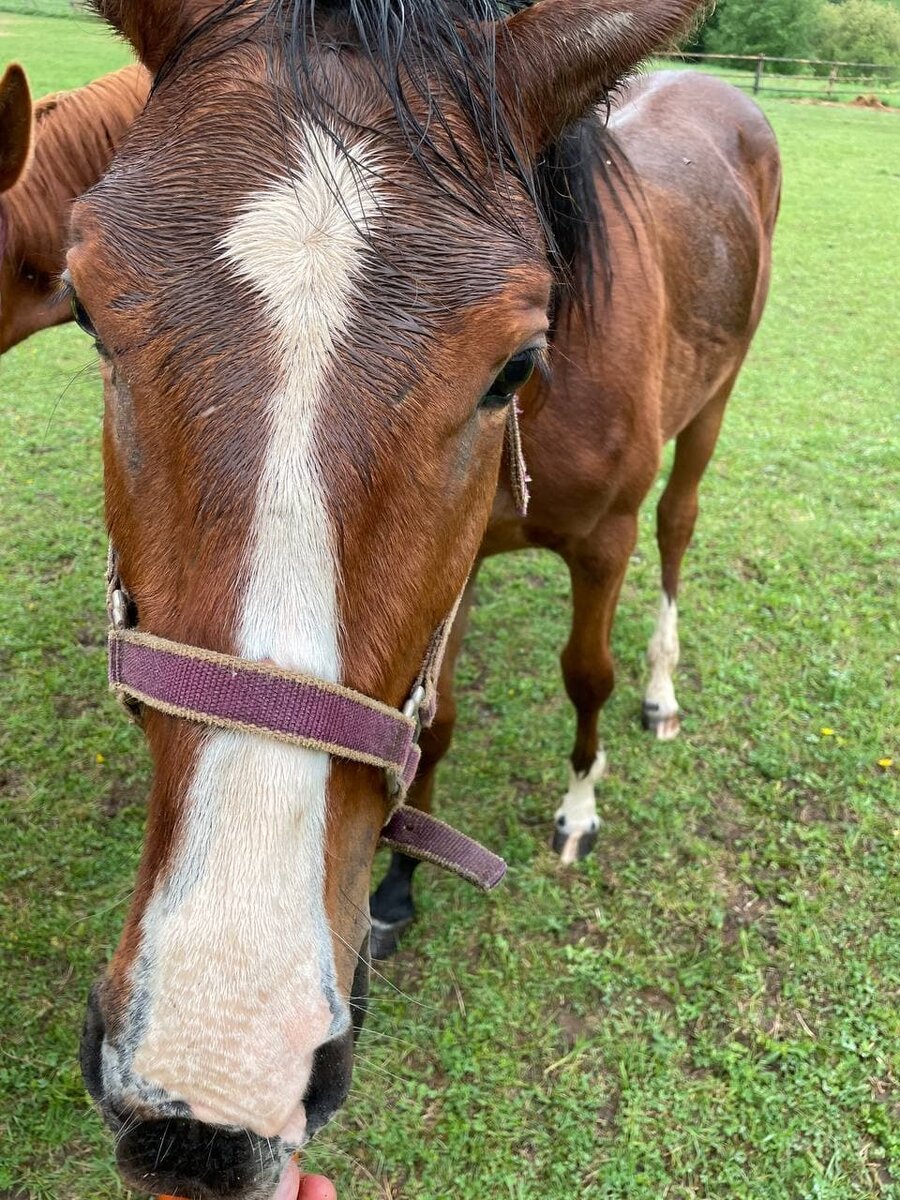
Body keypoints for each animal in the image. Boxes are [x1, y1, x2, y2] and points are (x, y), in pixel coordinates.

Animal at [372, 70, 782, 955]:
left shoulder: (603, 543)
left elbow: (587, 678)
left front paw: (579, 813)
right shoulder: (454, 559)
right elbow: (436, 718)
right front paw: (400, 878)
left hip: (715, 400)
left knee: (678, 527)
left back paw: (661, 691)